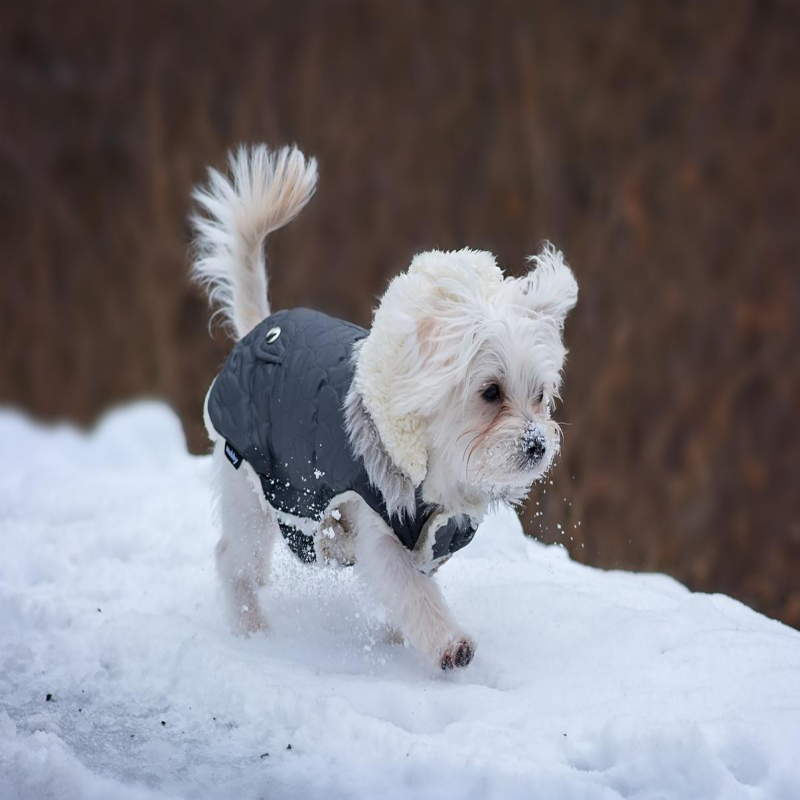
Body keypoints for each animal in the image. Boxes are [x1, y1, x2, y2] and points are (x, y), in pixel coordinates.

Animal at [191, 144, 580, 668]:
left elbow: (412, 593)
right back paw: (251, 626)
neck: (435, 470)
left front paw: (401, 639)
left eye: (540, 396)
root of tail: (259, 328)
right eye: (491, 392)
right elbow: (413, 592)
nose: (538, 444)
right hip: (250, 485)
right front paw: (449, 643)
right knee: (232, 559)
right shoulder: (380, 530)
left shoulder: (431, 539)